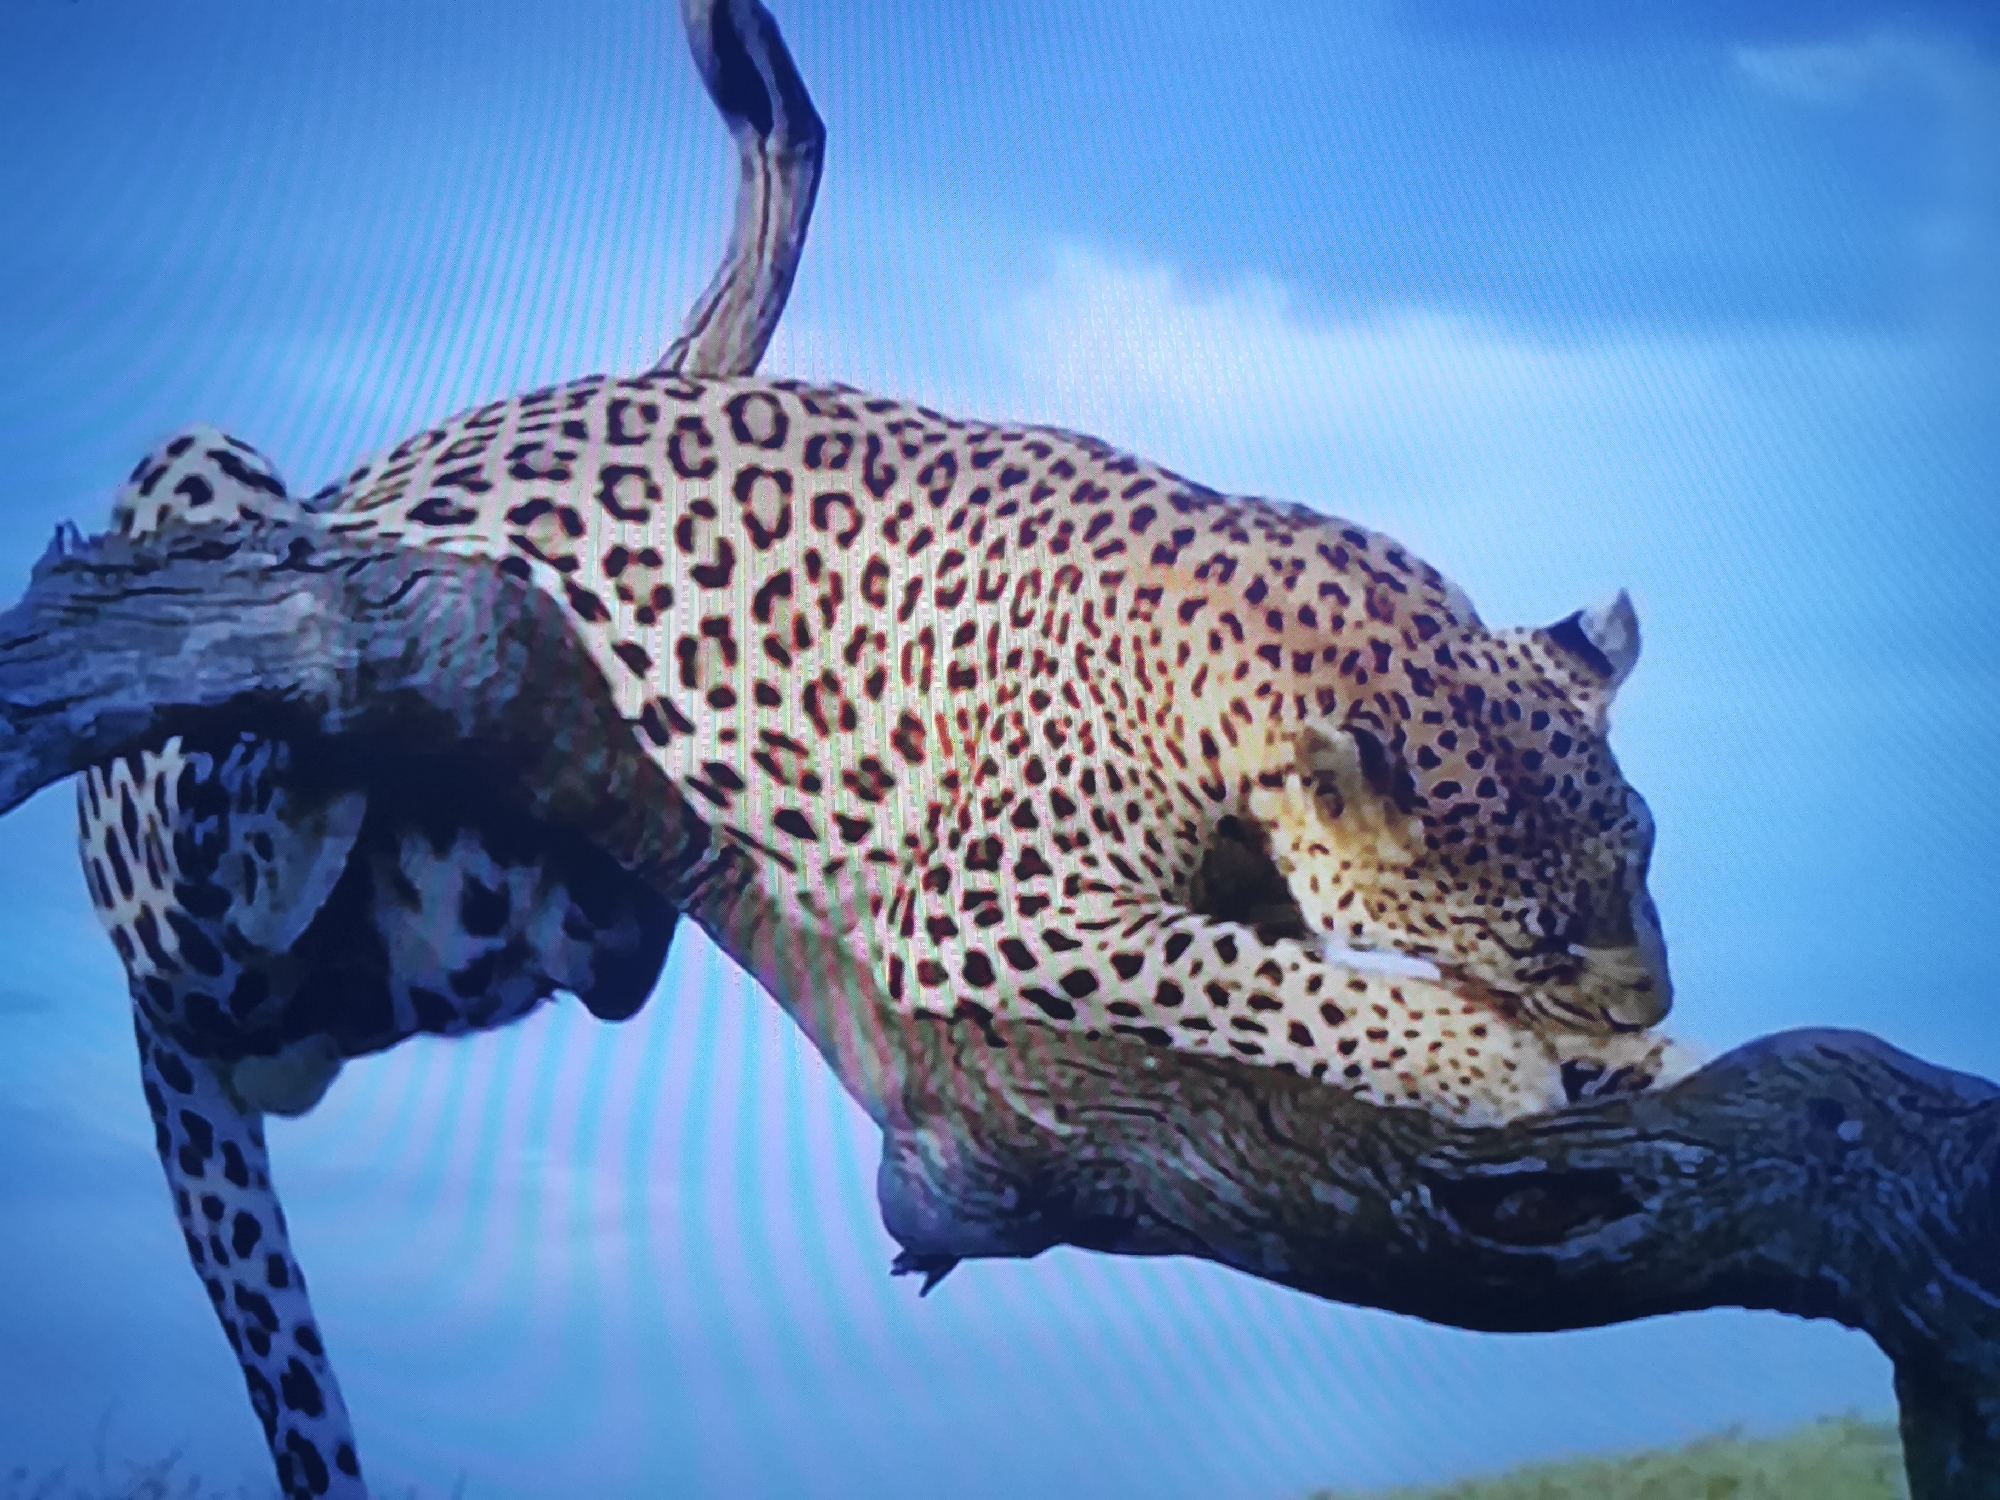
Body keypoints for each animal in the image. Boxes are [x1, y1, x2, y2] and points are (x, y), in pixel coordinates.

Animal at [79, 378, 1693, 1496]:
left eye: (1646, 861)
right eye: (1543, 936)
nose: (1637, 1001)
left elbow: (1280, 950)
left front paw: (1632, 1064)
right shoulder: (992, 901)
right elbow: (1263, 980)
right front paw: (1493, 1061)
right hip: (198, 550)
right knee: (241, 803)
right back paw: (352, 611)